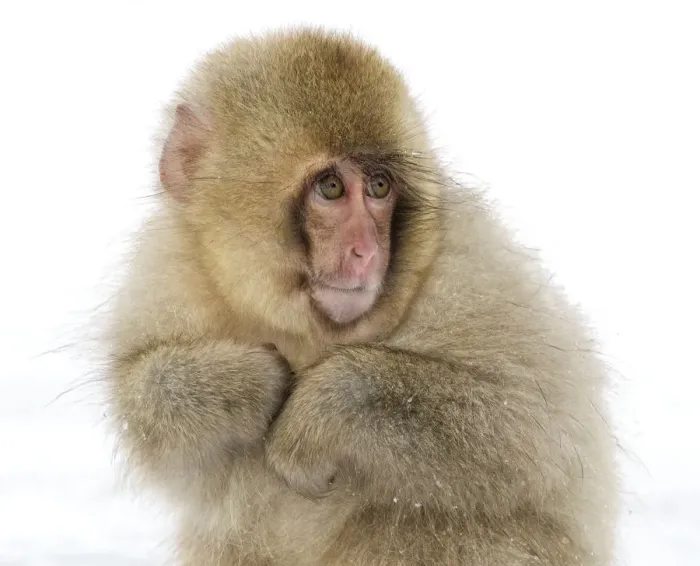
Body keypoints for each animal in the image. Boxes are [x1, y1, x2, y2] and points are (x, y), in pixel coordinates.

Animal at [102, 27, 617, 566]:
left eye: (379, 187)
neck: (309, 335)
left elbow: (540, 425)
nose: (367, 251)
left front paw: (323, 408)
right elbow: (143, 401)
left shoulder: (469, 269)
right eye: (330, 187)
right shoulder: (175, 267)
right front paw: (249, 384)